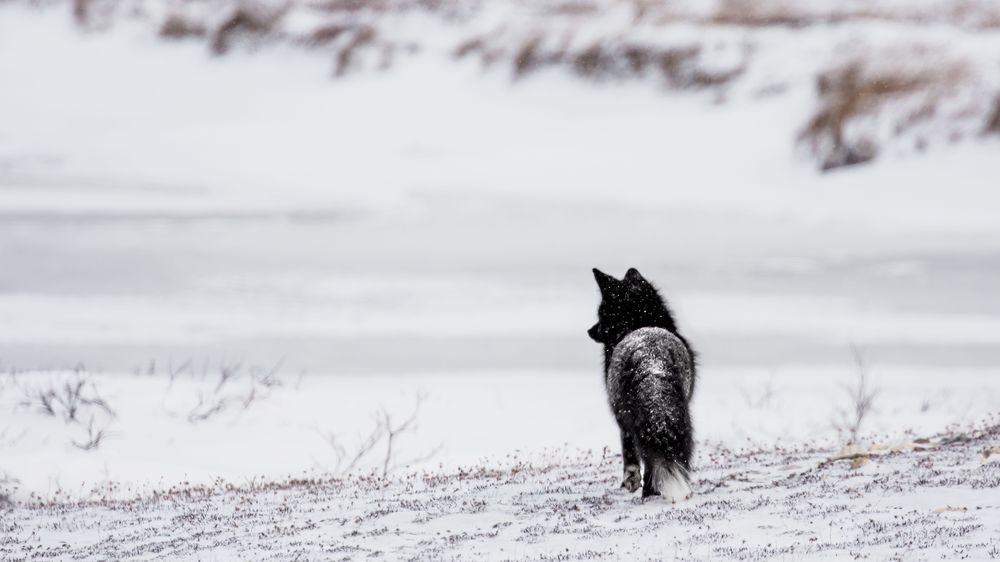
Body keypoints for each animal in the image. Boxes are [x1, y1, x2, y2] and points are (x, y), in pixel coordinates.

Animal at [588, 268, 697, 501]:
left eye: (600, 313)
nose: (589, 331)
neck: (637, 321)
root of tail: (650, 361)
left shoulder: (621, 420)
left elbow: (629, 455)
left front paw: (630, 481)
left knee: (647, 460)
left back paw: (648, 493)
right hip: (681, 422)